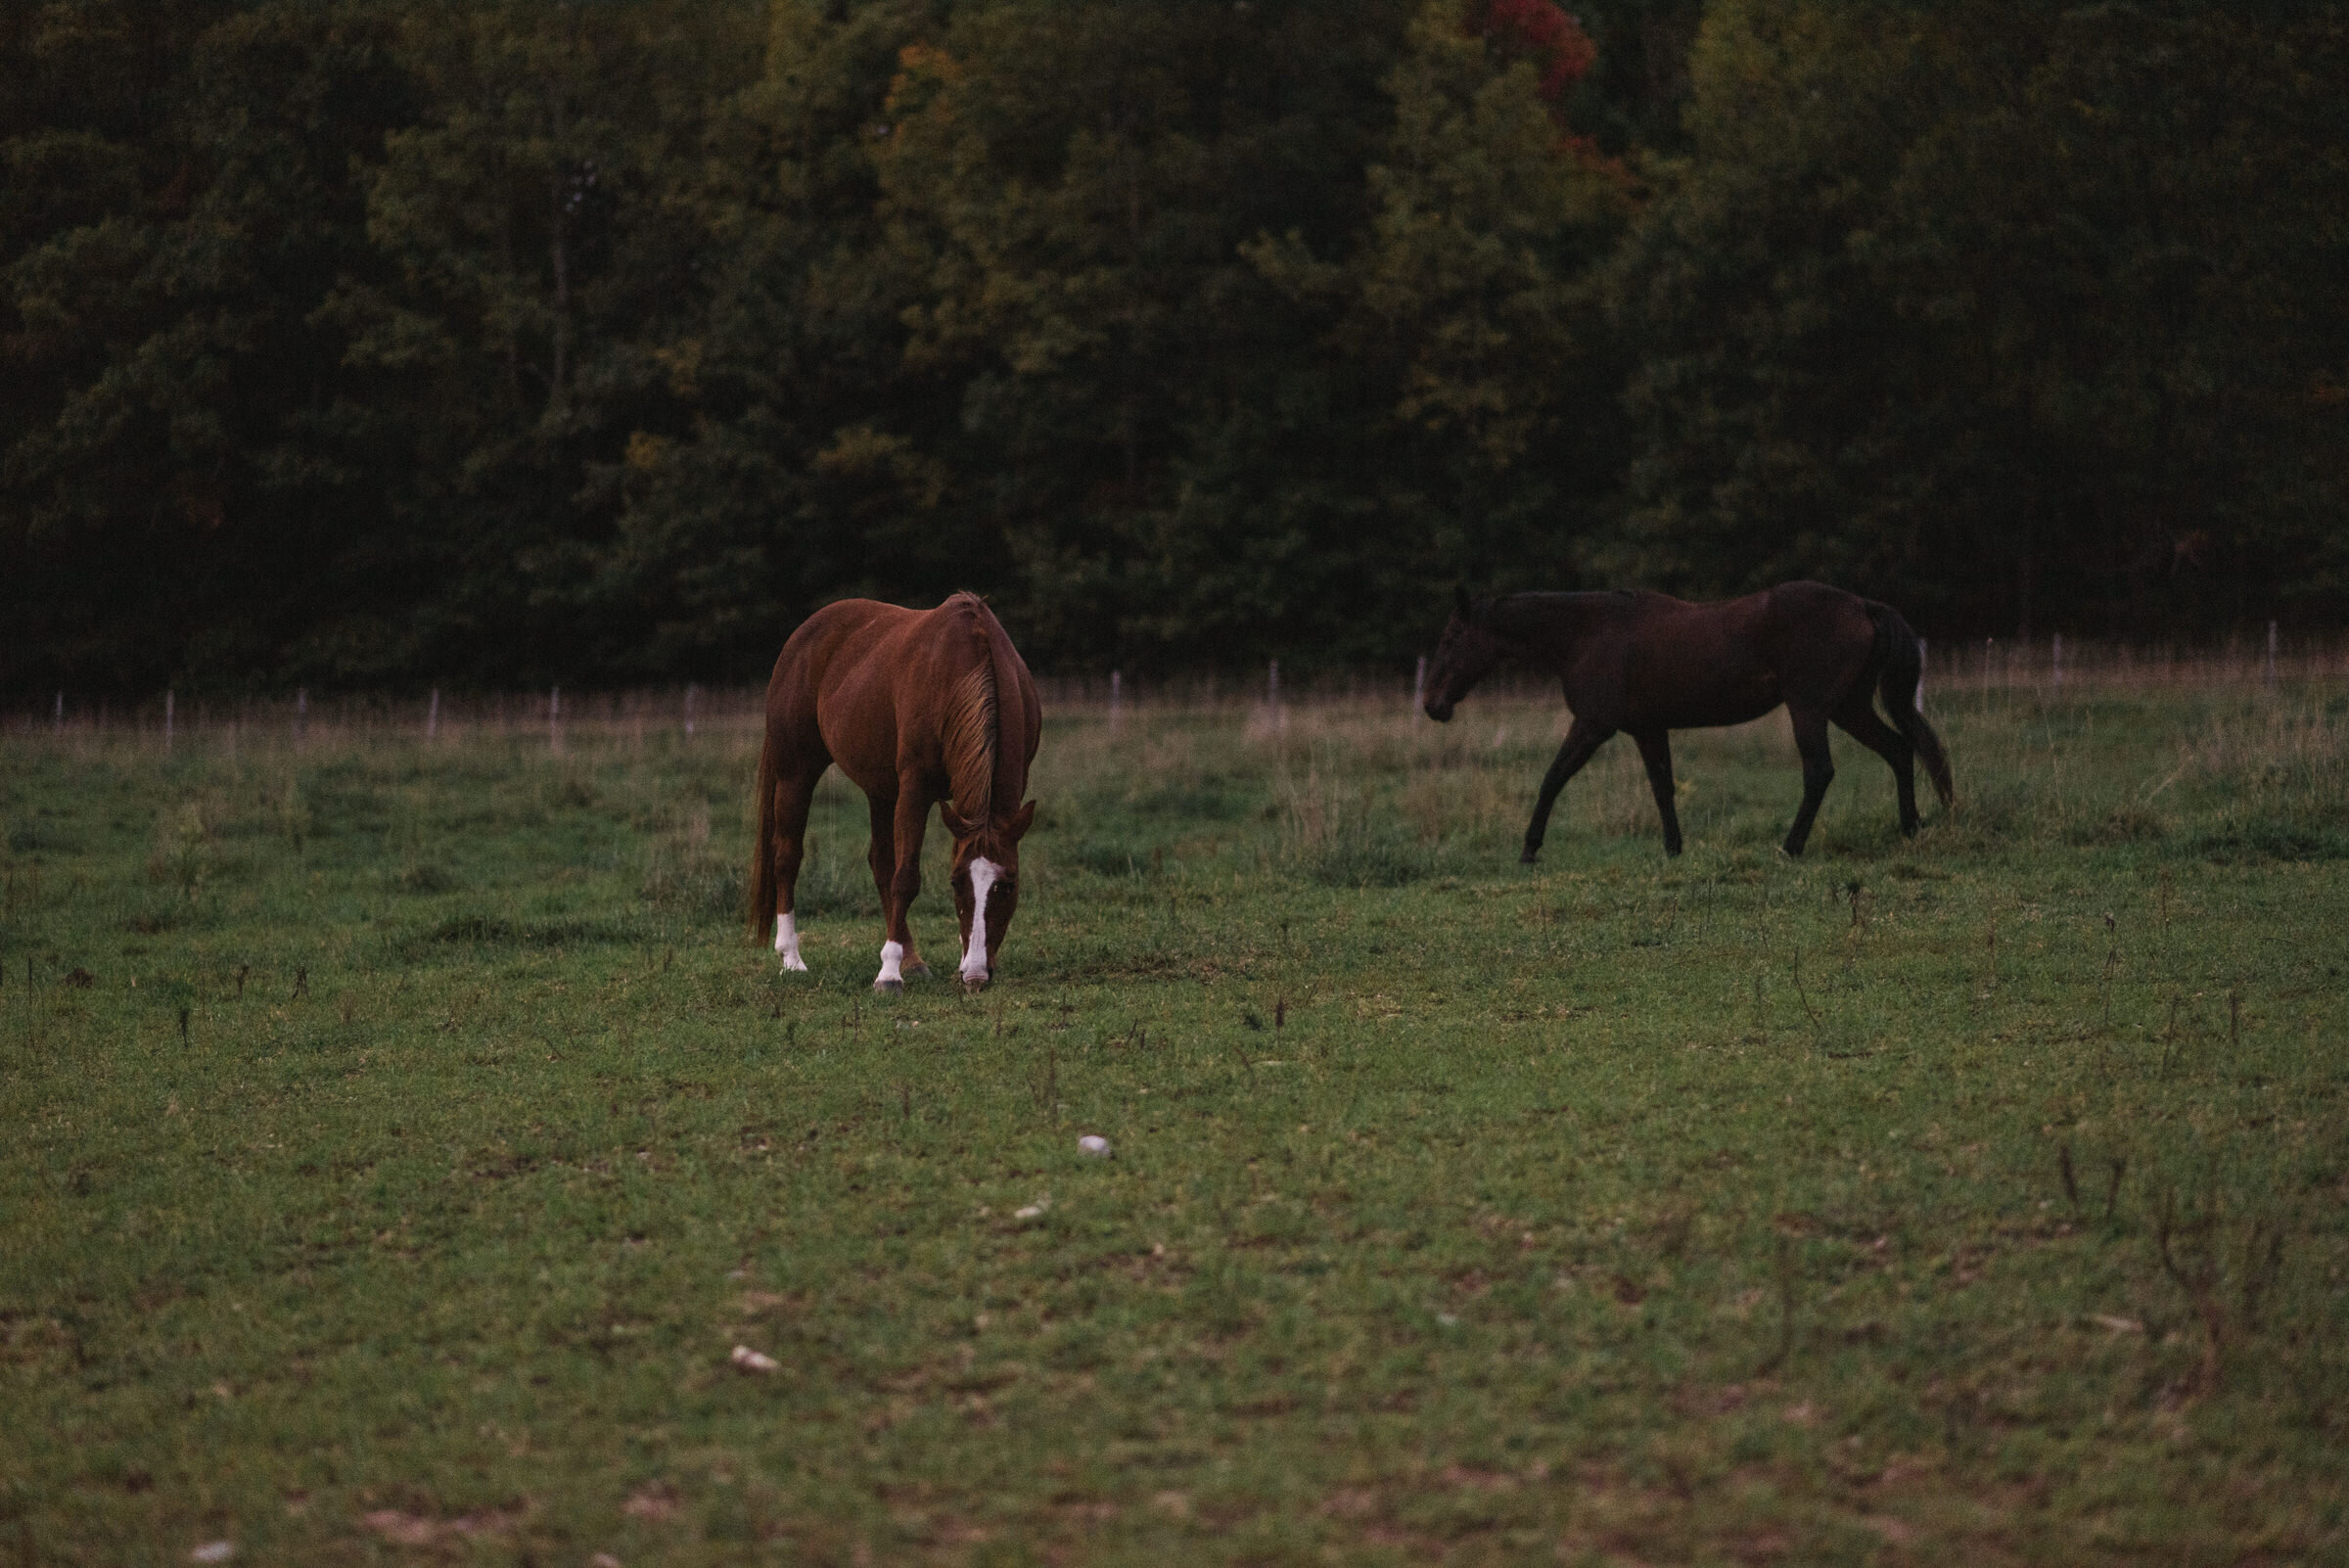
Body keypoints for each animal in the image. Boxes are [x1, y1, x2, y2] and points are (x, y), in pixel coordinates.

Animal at [747, 593, 1042, 986]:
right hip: (796, 772)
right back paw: (792, 958)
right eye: (955, 883)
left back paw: (912, 960)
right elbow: (906, 879)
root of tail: (800, 638)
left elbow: (899, 871)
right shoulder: (915, 788)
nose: (978, 975)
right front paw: (888, 975)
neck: (964, 669)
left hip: (881, 789)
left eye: (1008, 884)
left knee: (880, 862)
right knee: (787, 856)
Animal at [1418, 581, 1954, 863]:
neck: (1587, 634)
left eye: (1451, 639)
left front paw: (1529, 850)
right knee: (1900, 750)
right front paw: (1674, 849)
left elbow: (1552, 779)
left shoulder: (1592, 726)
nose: (1432, 705)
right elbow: (1663, 789)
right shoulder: (1648, 729)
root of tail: (1862, 605)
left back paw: (1791, 846)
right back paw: (1910, 827)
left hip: (1811, 711)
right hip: (1847, 708)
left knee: (1820, 773)